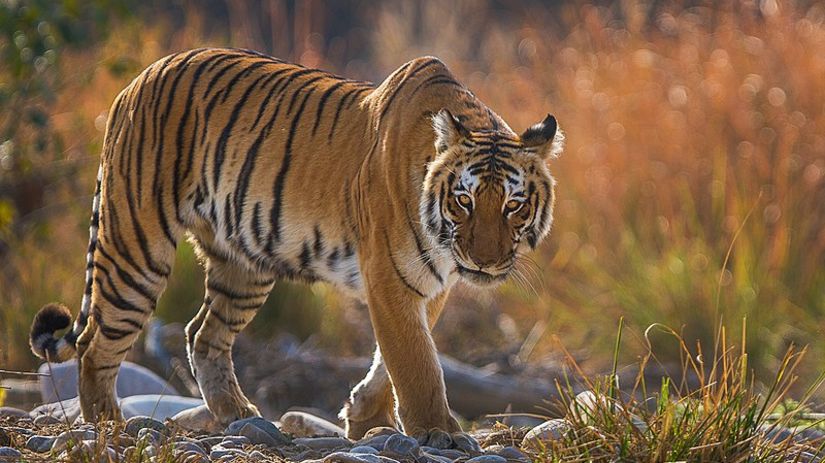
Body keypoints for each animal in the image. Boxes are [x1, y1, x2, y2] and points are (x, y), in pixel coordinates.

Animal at [29, 48, 564, 446]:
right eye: (464, 200)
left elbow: (395, 358)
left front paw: (365, 419)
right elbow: (416, 362)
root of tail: (136, 80)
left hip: (243, 265)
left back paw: (238, 414)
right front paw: (438, 432)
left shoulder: (426, 286)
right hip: (137, 247)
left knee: (203, 333)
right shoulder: (390, 276)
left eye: (513, 205)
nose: (485, 262)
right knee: (94, 342)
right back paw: (108, 427)